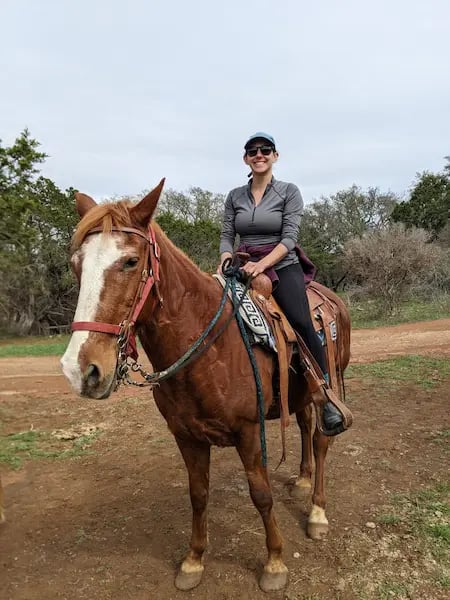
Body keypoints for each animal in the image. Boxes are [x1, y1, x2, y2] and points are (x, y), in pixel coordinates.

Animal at [61, 180, 352, 592]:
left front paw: (274, 562)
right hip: (299, 394)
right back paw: (301, 481)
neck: (209, 344)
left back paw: (316, 513)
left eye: (131, 262)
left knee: (322, 438)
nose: (80, 369)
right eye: (77, 265)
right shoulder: (186, 436)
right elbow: (198, 495)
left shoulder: (249, 431)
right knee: (306, 424)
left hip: (330, 382)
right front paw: (194, 560)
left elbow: (261, 494)